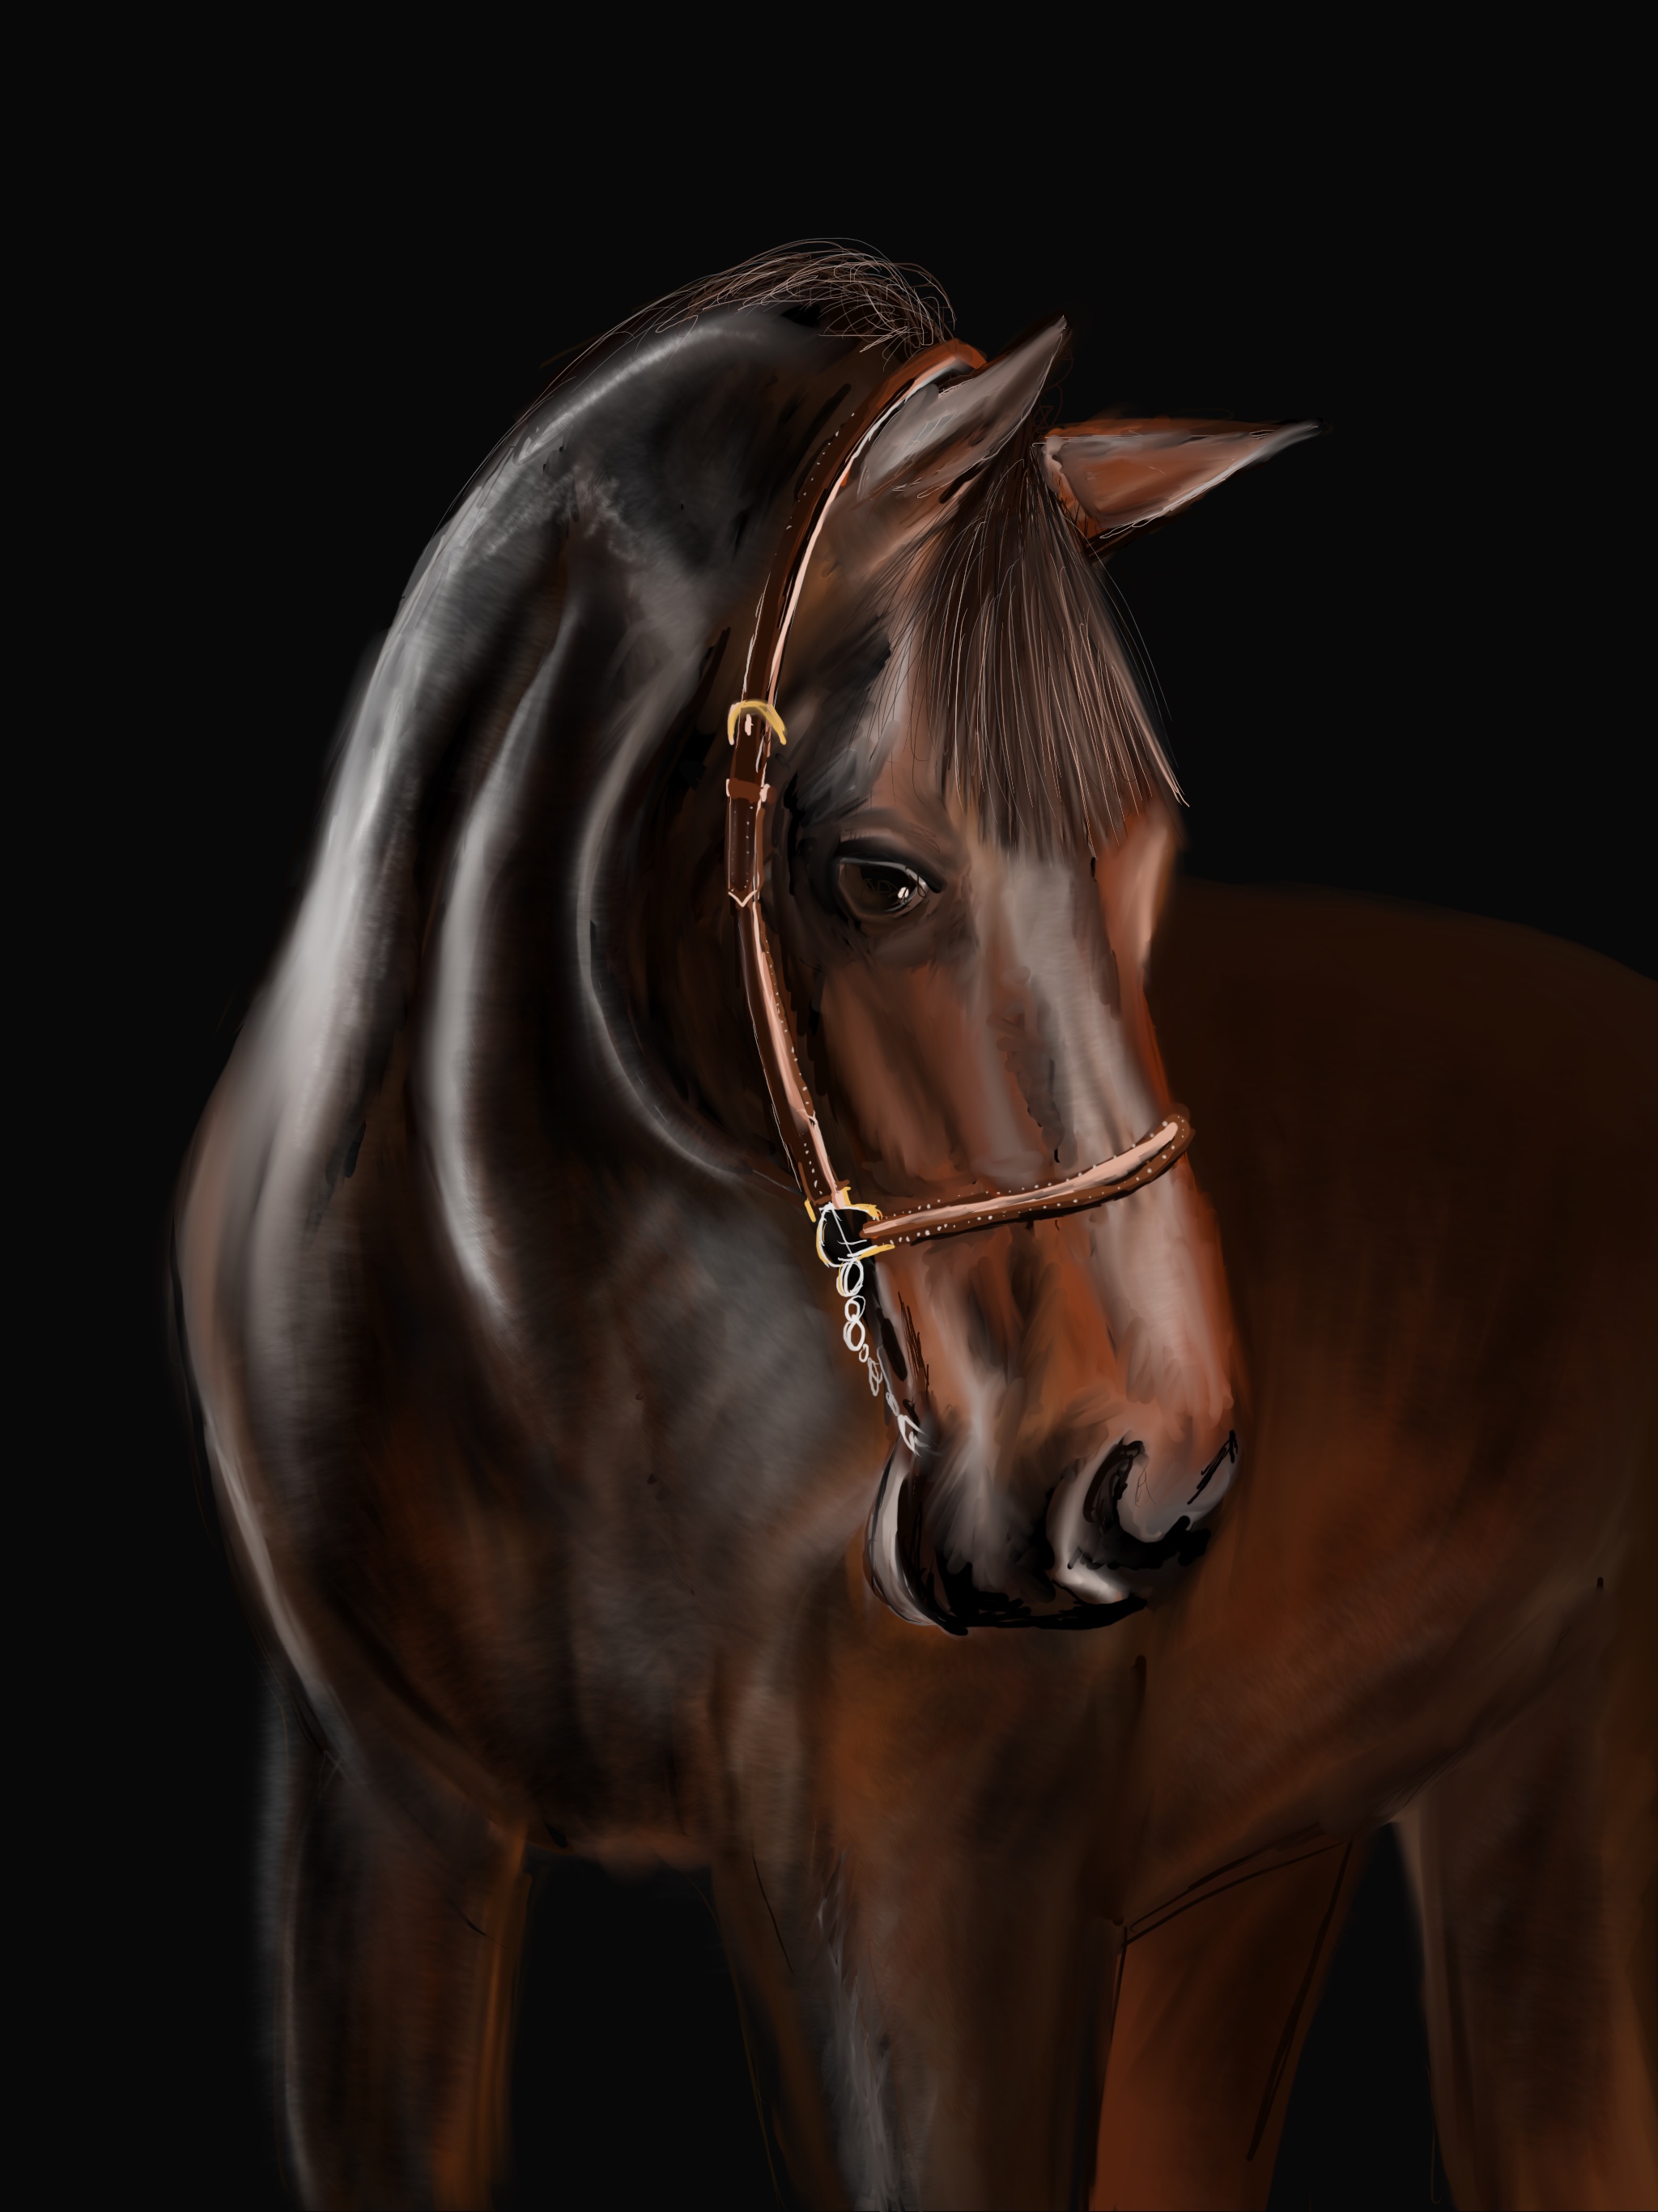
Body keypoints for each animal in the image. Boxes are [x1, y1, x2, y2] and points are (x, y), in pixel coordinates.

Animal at [173, 245, 1658, 2209]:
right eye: (877, 875)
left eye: (1147, 846)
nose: (1146, 1487)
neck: (543, 1341)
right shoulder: (380, 1847)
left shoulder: (938, 1895)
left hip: (1547, 1817)